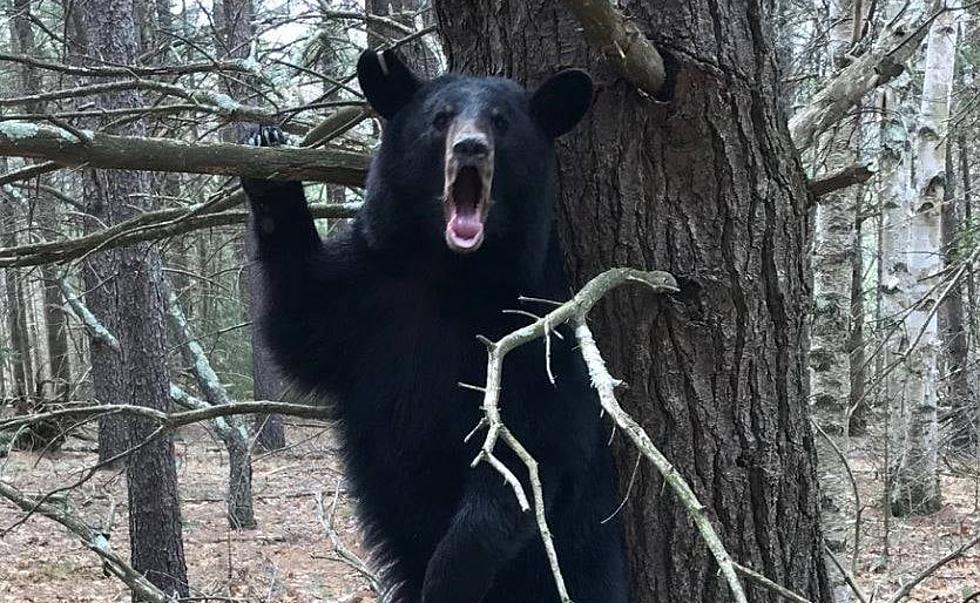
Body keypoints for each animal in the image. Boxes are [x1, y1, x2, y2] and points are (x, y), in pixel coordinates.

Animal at [241, 49, 632, 600]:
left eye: (501, 121)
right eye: (440, 118)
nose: (471, 147)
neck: (447, 270)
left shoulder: (535, 326)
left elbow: (531, 444)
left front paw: (450, 574)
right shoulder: (367, 296)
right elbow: (299, 328)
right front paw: (268, 160)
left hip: (584, 562)